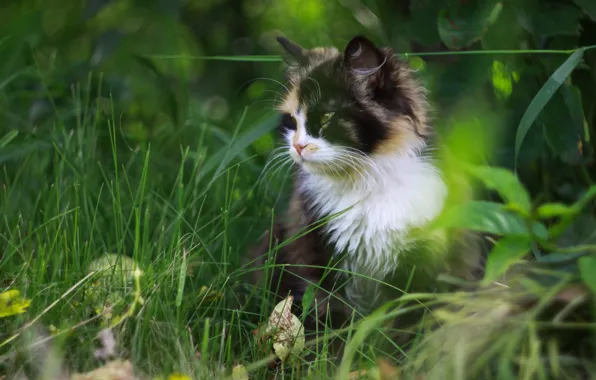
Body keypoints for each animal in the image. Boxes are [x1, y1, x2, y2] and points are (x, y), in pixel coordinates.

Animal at [248, 34, 484, 328]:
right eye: (292, 120)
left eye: (326, 117)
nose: (298, 146)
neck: (364, 181)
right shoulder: (316, 254)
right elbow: (330, 316)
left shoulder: (420, 262)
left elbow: (405, 322)